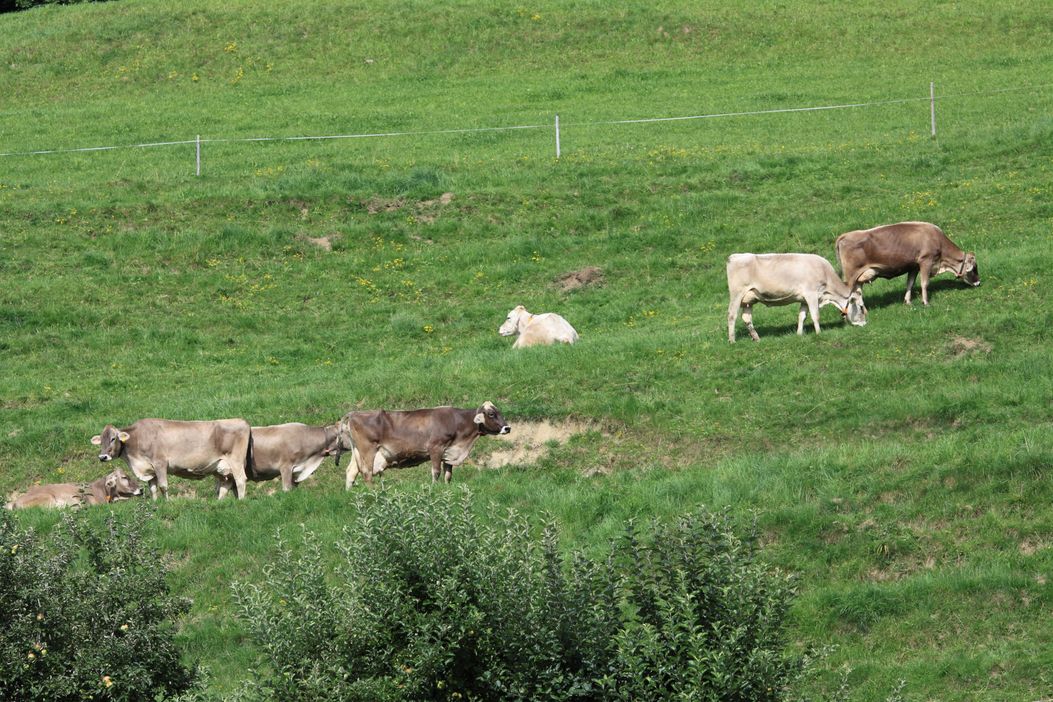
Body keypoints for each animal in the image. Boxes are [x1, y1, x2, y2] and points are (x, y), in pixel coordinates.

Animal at [91, 418, 252, 500]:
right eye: (101, 441)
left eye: (113, 438)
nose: (102, 457)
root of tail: (243, 421)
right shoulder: (150, 469)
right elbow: (153, 488)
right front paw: (155, 504)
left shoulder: (160, 463)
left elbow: (163, 486)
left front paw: (167, 503)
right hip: (220, 467)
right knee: (227, 483)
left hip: (236, 461)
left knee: (240, 480)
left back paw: (241, 501)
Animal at [338, 401, 511, 488]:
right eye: (491, 414)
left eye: (500, 412)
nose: (507, 428)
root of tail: (354, 413)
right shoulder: (435, 448)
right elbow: (436, 472)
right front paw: (434, 488)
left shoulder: (449, 452)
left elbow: (448, 474)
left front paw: (447, 488)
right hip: (368, 450)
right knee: (366, 473)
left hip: (357, 452)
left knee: (351, 472)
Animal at [727, 253, 868, 343]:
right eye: (861, 307)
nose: (865, 324)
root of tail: (734, 256)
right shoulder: (811, 294)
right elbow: (815, 315)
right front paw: (819, 333)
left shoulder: (804, 299)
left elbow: (802, 316)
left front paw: (799, 334)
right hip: (737, 294)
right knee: (732, 315)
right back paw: (732, 340)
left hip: (748, 300)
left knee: (746, 318)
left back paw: (756, 338)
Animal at [835, 221, 980, 306]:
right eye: (974, 268)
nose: (978, 283)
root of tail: (845, 235)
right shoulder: (926, 261)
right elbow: (925, 283)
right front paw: (925, 302)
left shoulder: (913, 266)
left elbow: (910, 283)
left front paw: (908, 302)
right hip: (851, 275)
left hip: (858, 277)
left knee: (857, 292)